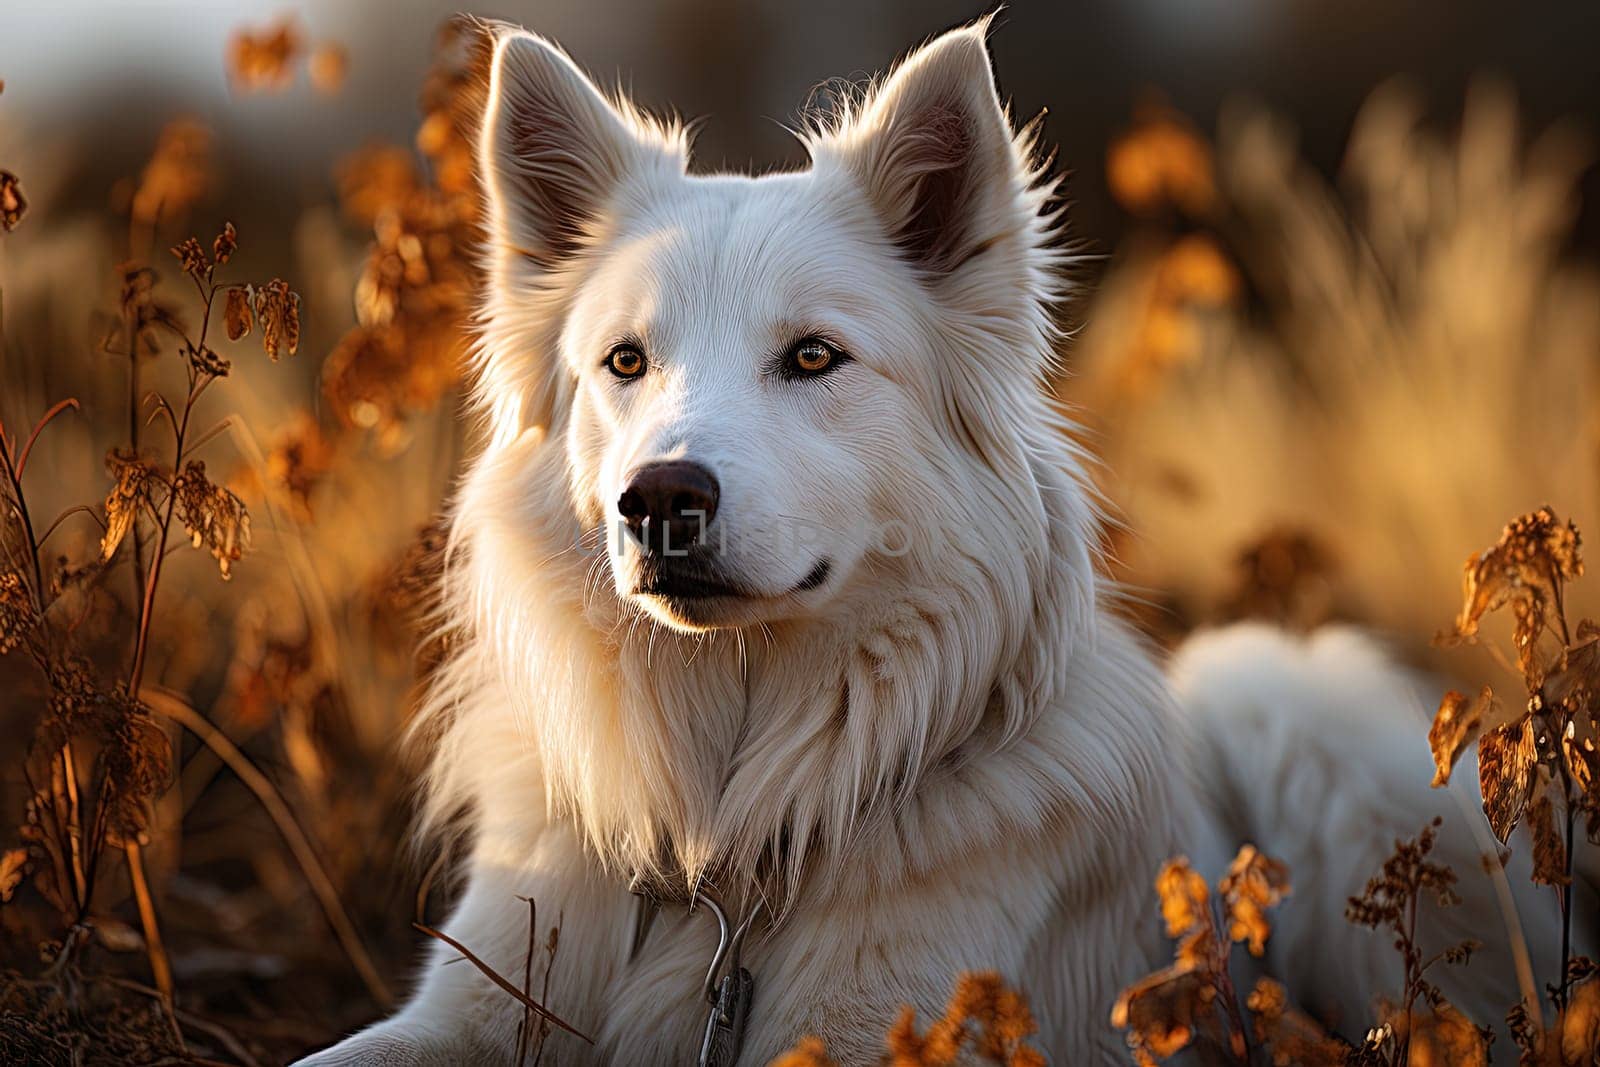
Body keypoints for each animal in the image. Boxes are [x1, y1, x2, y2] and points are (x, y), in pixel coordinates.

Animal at [300, 18, 1574, 1067]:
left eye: (813, 356)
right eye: (625, 361)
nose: (657, 501)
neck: (731, 846)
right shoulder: (477, 996)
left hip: (1291, 697)